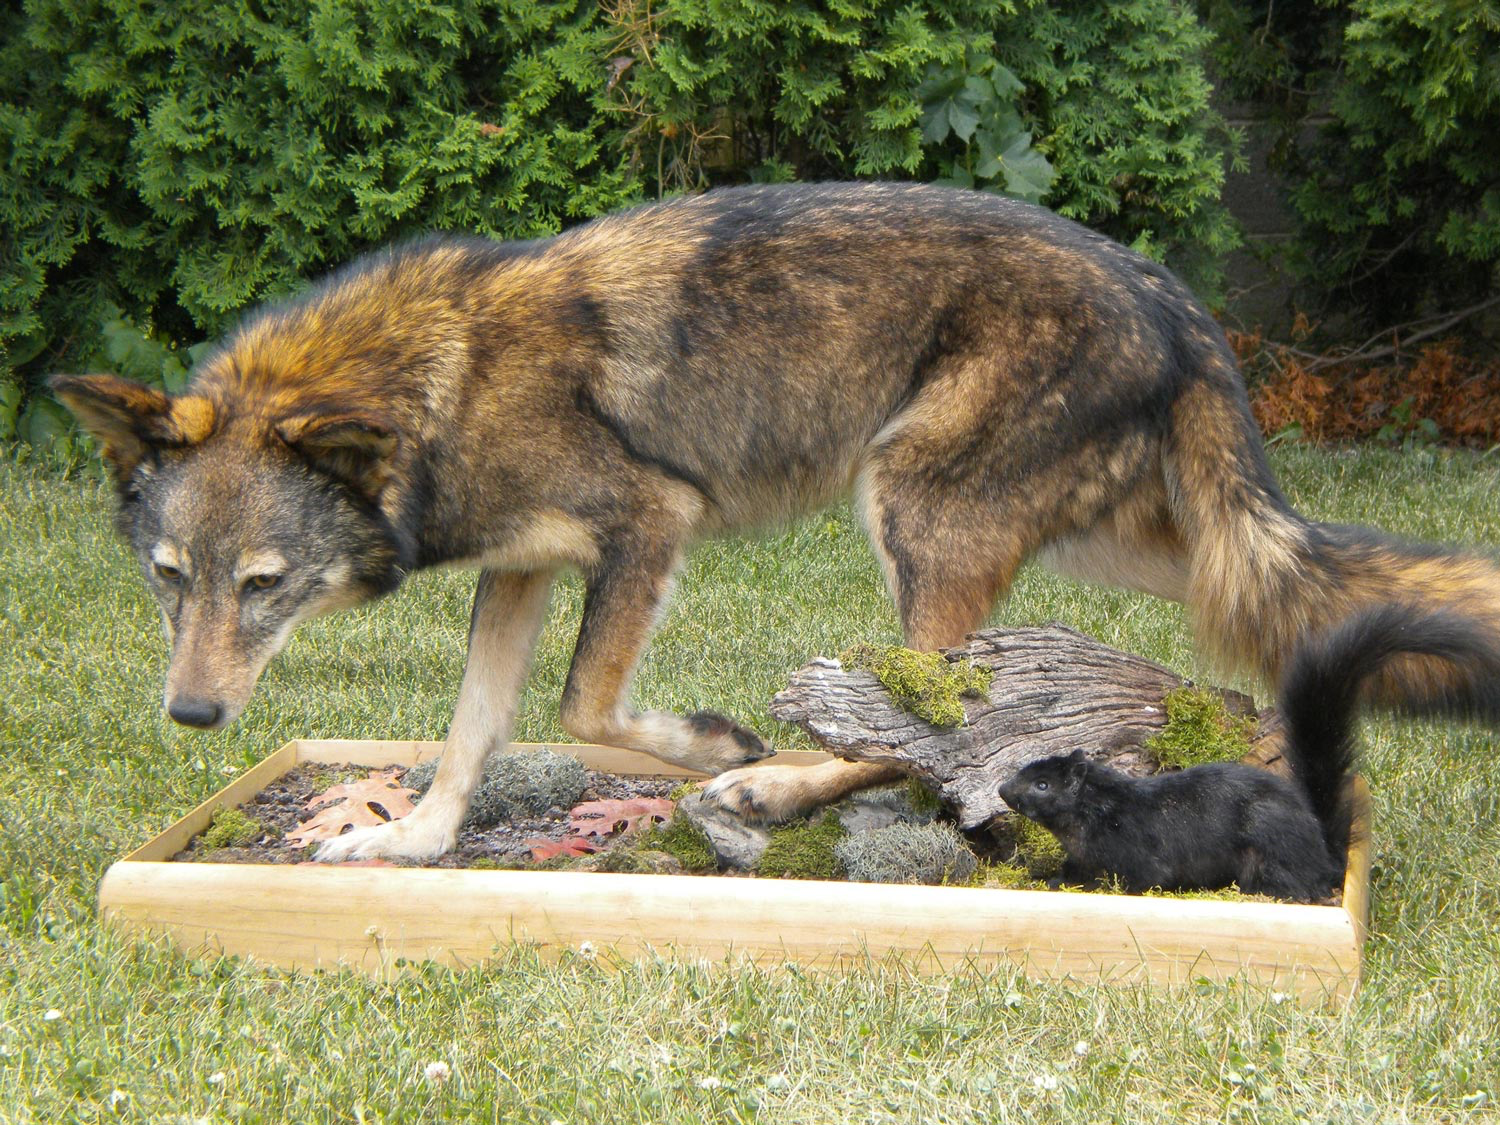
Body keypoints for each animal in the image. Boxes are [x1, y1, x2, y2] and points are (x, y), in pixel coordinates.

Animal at [52, 182, 1500, 861]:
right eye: (171, 578)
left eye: (263, 584)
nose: (192, 717)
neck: (436, 390)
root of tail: (1178, 299)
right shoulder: (522, 574)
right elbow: (472, 732)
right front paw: (412, 840)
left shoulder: (649, 522)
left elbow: (584, 706)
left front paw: (712, 743)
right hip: (1138, 548)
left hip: (910, 518)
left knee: (933, 735)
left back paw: (774, 780)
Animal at [998, 603, 1500, 902]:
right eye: (1030, 769)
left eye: (1042, 784)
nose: (1003, 790)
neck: (1097, 810)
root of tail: (1327, 857)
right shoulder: (1081, 854)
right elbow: (1072, 871)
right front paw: (1049, 880)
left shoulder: (1139, 852)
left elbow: (1139, 880)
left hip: (1268, 850)